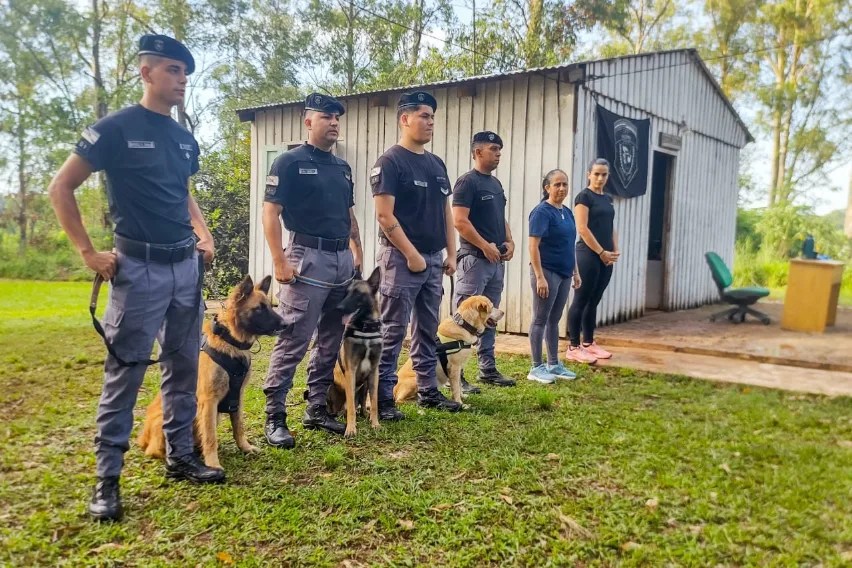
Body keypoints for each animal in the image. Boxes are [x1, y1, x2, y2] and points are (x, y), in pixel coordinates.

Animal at [137, 276, 286, 470]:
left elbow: (239, 427)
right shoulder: (209, 402)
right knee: (156, 449)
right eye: (259, 308)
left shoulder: (237, 398)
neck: (230, 342)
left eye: (269, 306)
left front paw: (245, 448)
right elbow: (210, 436)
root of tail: (143, 437)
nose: (286, 324)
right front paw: (213, 463)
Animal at [324, 268, 382, 440]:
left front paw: (375, 423)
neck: (366, 327)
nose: (338, 308)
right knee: (341, 407)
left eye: (358, 294)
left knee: (361, 402)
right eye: (346, 293)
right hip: (331, 385)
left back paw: (364, 413)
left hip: (365, 385)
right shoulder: (351, 371)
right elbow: (350, 405)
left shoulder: (374, 372)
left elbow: (374, 402)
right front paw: (351, 428)